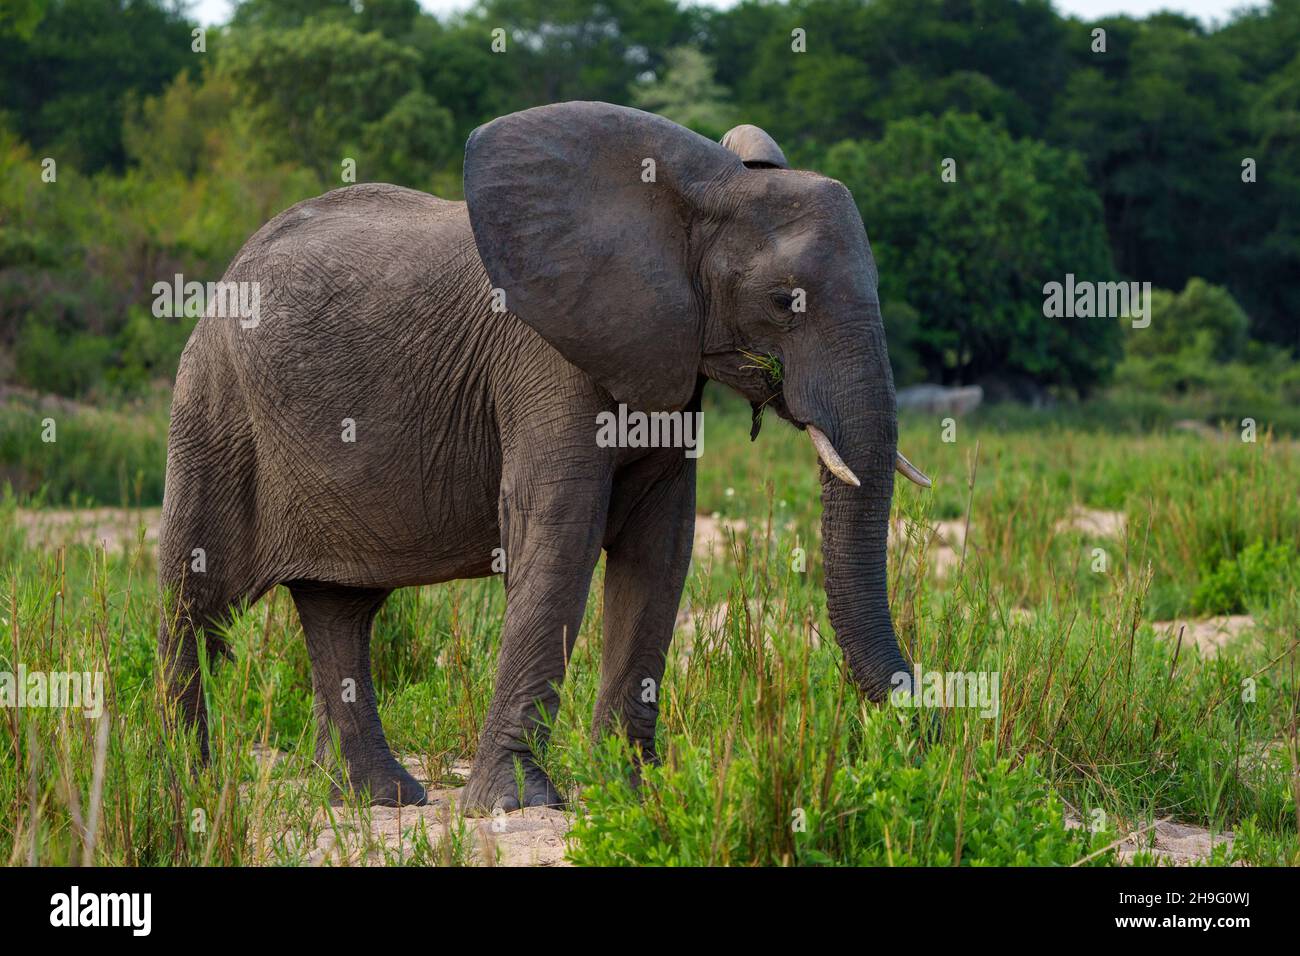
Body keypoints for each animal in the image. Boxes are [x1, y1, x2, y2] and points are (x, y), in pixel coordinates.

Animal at [157, 100, 930, 811]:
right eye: (783, 300)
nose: (931, 735)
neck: (700, 189)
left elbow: (660, 548)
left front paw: (634, 793)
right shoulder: (544, 357)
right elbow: (560, 532)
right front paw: (519, 803)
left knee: (339, 609)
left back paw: (377, 797)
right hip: (215, 402)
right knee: (198, 598)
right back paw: (189, 787)